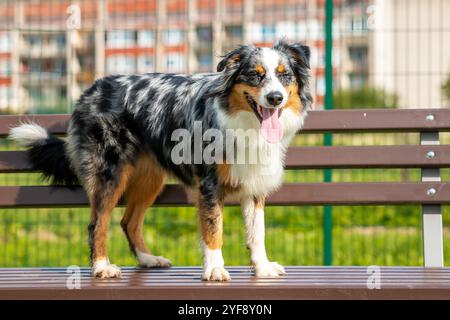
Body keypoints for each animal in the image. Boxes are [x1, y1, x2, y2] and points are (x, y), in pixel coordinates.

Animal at [9, 39, 312, 280]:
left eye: (284, 76)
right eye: (254, 75)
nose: (275, 98)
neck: (245, 123)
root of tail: (91, 90)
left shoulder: (253, 183)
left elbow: (257, 232)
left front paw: (262, 268)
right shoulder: (210, 184)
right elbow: (214, 229)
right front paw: (215, 269)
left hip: (149, 179)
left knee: (128, 222)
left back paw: (148, 259)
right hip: (110, 173)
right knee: (98, 223)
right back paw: (102, 267)